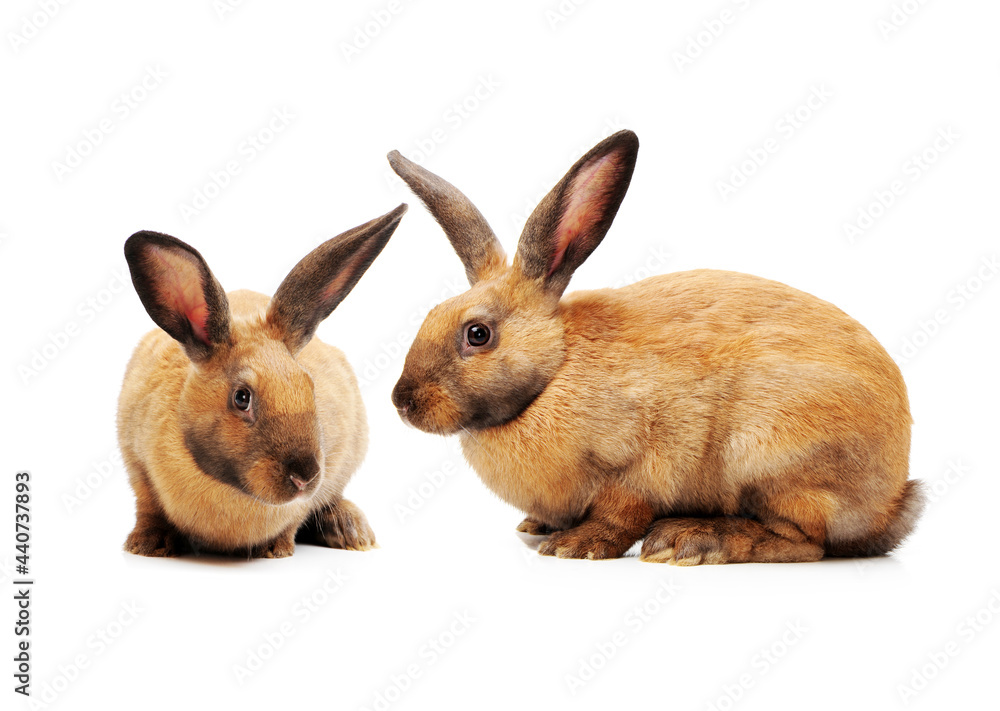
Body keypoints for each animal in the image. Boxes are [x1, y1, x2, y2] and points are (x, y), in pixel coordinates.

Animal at [117, 204, 407, 558]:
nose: (305, 477)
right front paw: (146, 544)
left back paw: (352, 531)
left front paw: (275, 548)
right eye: (242, 398)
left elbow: (294, 519)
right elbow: (148, 507)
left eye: (309, 388)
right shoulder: (136, 463)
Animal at [386, 130, 924, 565]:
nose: (403, 402)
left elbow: (622, 511)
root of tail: (892, 501)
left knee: (804, 542)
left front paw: (575, 546)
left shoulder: (639, 463)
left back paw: (693, 540)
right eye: (429, 316)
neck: (556, 369)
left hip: (771, 454)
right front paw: (537, 528)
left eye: (477, 334)